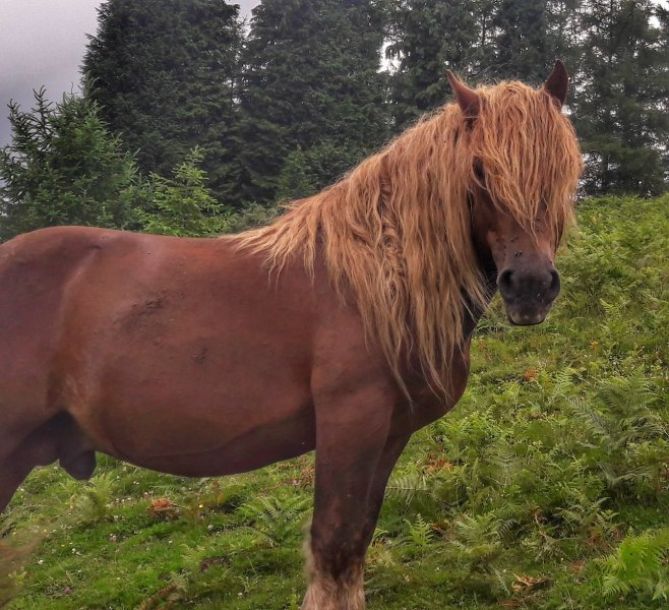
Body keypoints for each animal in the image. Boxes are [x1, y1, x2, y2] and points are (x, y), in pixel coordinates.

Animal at [1, 63, 580, 608]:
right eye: (480, 169)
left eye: (566, 168)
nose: (530, 286)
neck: (378, 278)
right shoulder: (350, 422)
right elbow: (335, 542)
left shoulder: (389, 433)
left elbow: (357, 540)